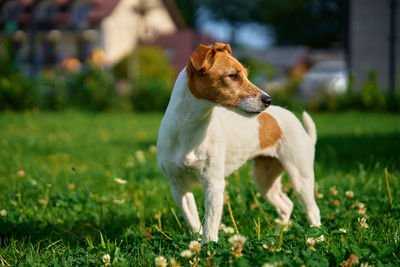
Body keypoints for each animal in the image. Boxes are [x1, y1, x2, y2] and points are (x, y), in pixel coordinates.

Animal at [157, 42, 322, 245]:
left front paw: (209, 248)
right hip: (265, 179)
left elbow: (210, 225)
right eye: (233, 76)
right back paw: (275, 239)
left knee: (313, 209)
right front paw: (195, 246)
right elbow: (194, 222)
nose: (268, 99)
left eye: (246, 74)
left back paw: (316, 239)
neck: (188, 130)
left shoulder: (214, 184)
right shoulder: (178, 187)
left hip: (300, 177)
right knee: (286, 205)